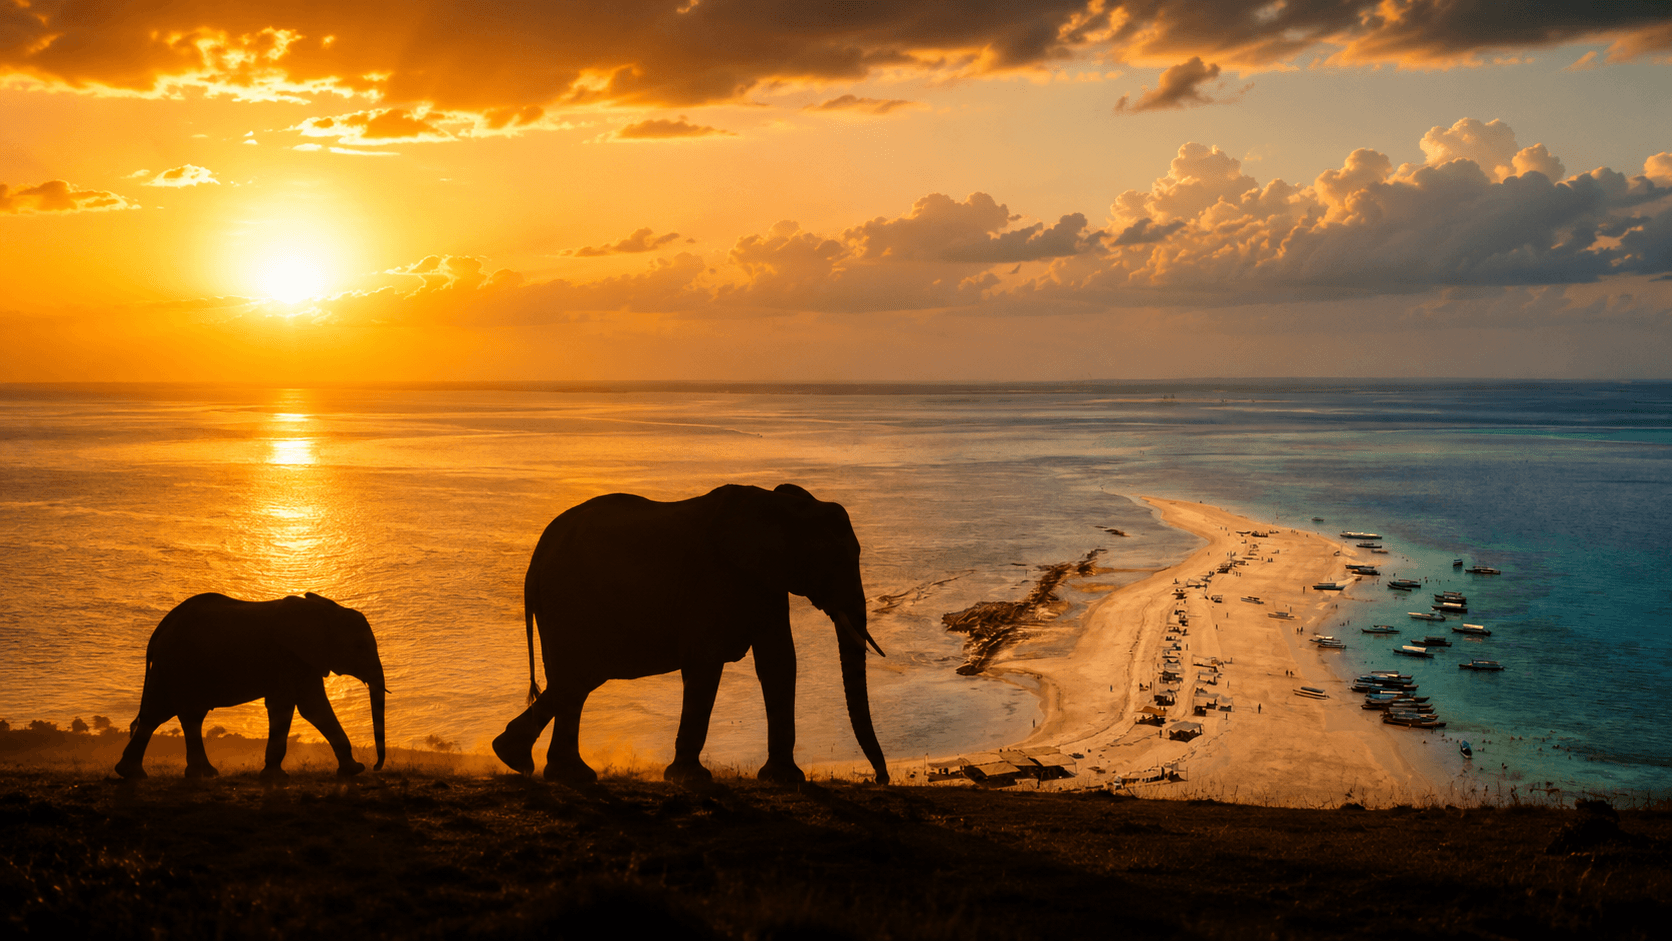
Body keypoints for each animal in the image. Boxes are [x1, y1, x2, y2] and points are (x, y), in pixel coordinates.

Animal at [114, 592, 387, 780]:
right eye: (359, 647)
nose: (376, 767)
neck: (323, 609)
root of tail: (161, 627)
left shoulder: (302, 660)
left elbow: (309, 707)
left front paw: (352, 771)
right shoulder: (289, 657)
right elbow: (300, 707)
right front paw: (276, 777)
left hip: (169, 667)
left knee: (157, 714)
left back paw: (135, 774)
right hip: (178, 664)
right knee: (182, 714)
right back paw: (199, 774)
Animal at [491, 483, 890, 786]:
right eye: (834, 561)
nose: (878, 779)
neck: (779, 505)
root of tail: (536, 558)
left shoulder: (766, 581)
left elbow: (778, 662)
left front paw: (783, 780)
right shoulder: (712, 578)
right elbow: (705, 663)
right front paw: (690, 779)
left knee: (576, 682)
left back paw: (538, 766)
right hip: (567, 601)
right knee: (577, 677)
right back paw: (533, 764)